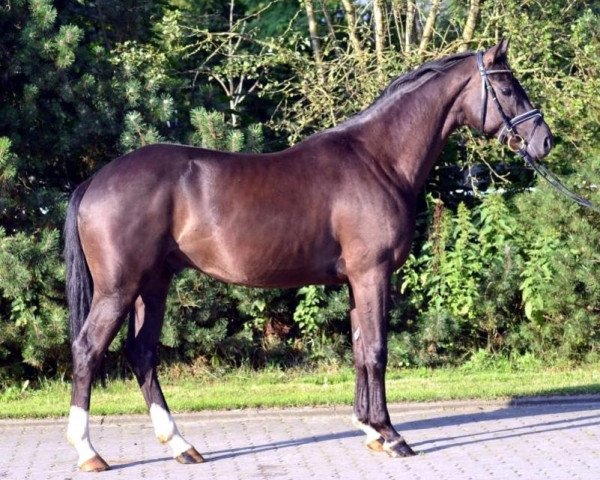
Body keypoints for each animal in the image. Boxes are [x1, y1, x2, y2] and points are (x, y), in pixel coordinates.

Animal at [65, 39, 552, 470]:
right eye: (508, 87)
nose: (544, 141)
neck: (378, 160)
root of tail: (94, 181)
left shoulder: (357, 281)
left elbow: (359, 348)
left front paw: (370, 429)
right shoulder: (372, 275)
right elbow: (377, 350)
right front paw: (392, 436)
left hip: (153, 284)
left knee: (142, 353)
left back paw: (181, 445)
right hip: (119, 287)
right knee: (88, 349)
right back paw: (89, 451)